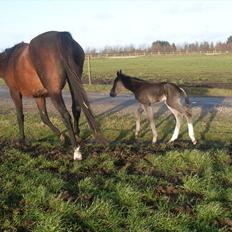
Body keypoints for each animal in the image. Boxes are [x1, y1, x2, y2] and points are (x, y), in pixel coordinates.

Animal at [0, 30, 102, 160]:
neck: (9, 61)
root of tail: (61, 36)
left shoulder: (14, 93)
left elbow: (20, 116)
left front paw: (22, 141)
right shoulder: (39, 95)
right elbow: (44, 117)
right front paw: (62, 137)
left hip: (55, 93)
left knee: (65, 115)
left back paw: (76, 151)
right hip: (73, 82)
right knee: (76, 109)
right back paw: (77, 137)